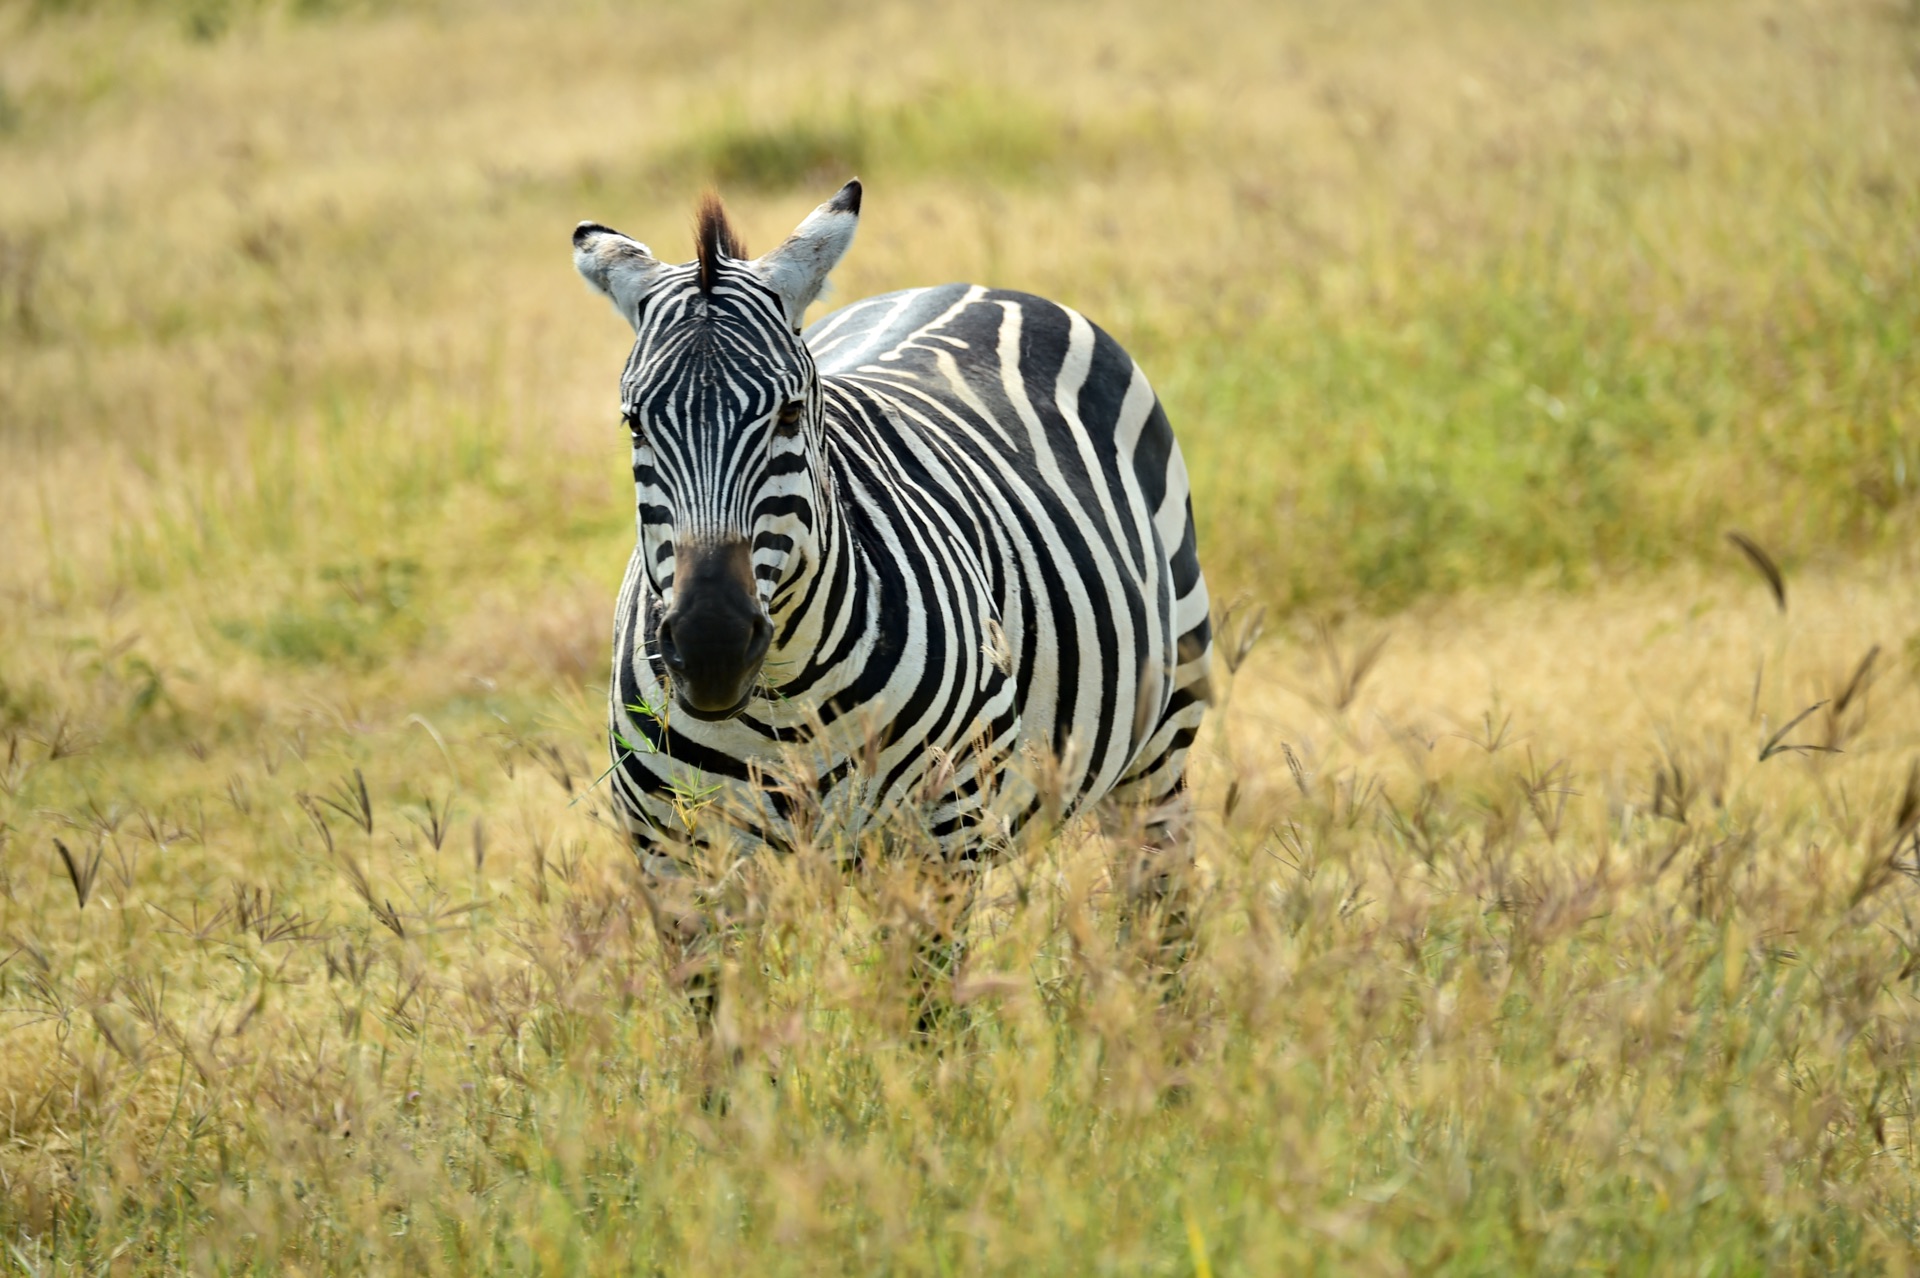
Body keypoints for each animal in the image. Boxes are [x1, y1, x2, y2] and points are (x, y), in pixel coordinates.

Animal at [564, 181, 1213, 1013]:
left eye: (789, 412)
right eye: (634, 422)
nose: (711, 649)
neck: (785, 701)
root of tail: (974, 286)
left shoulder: (940, 832)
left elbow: (928, 1019)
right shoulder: (675, 856)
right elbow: (726, 1032)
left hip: (1162, 730)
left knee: (1160, 906)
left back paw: (1162, 1040)